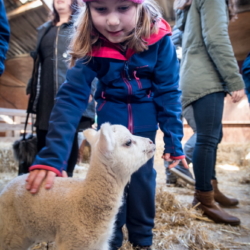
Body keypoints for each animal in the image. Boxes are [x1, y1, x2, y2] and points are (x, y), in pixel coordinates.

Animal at [0, 123, 155, 250]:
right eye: (128, 142)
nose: (151, 141)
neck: (85, 200)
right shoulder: (72, 241)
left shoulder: (99, 244)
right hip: (9, 231)